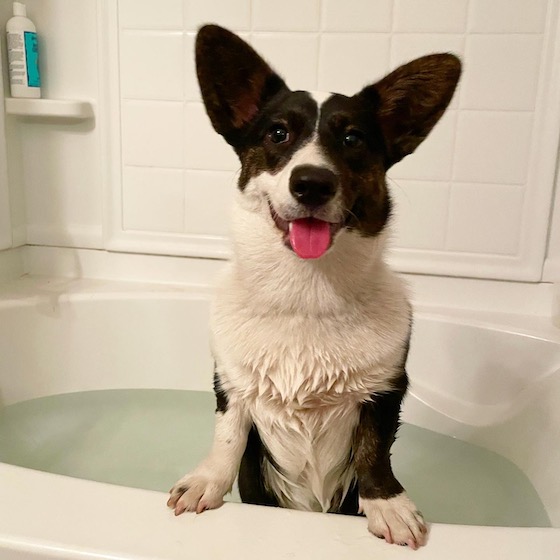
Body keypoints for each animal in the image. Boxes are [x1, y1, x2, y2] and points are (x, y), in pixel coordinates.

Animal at [168, 24, 462, 548]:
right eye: (278, 132)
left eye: (352, 138)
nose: (311, 183)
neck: (306, 291)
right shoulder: (231, 383)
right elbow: (227, 436)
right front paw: (206, 482)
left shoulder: (385, 389)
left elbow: (373, 452)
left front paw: (389, 505)